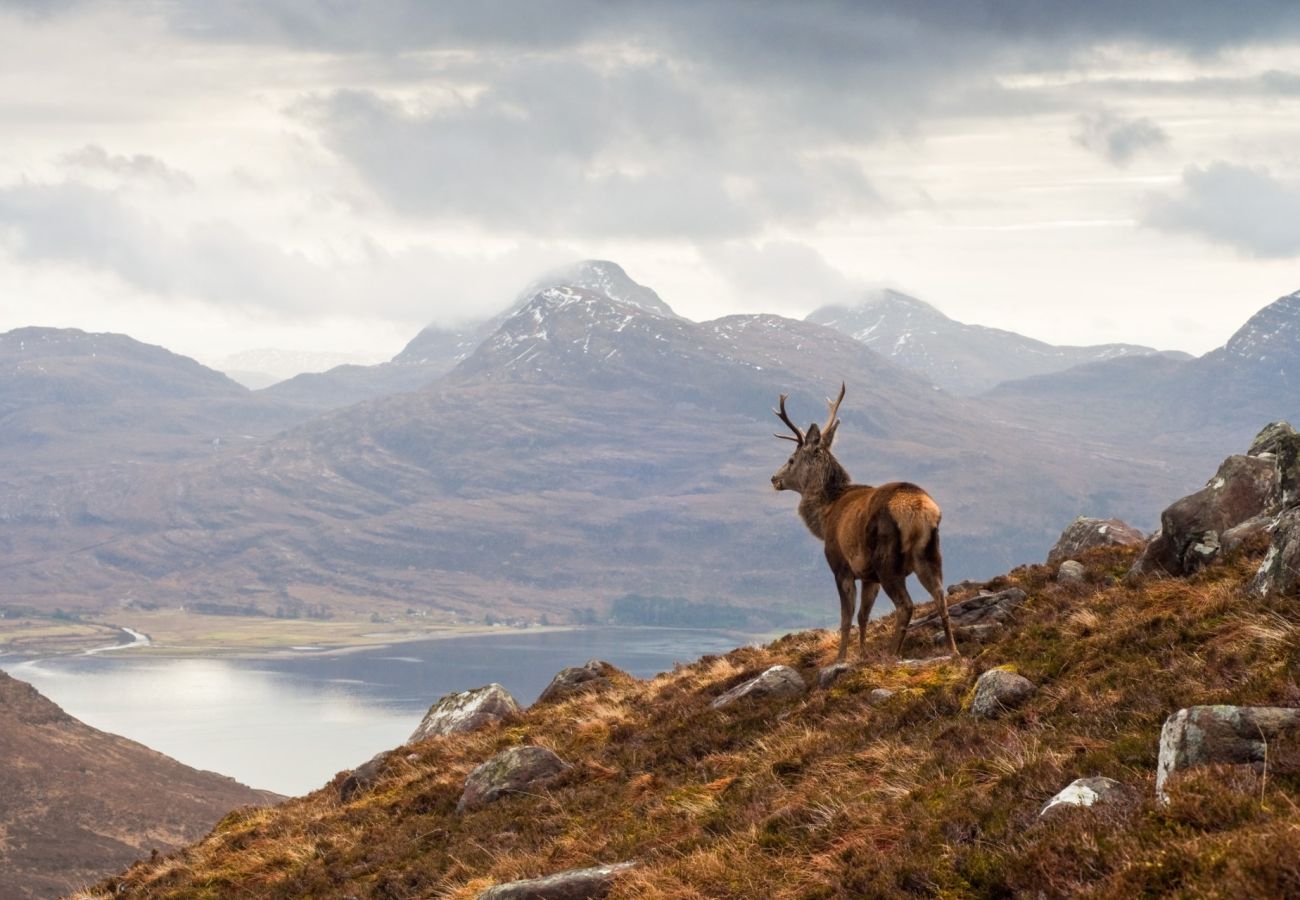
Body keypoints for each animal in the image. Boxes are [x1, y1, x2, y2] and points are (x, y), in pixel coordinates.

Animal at [770, 384, 959, 662]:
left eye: (792, 459)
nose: (774, 478)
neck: (824, 518)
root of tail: (920, 509)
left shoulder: (841, 566)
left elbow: (846, 617)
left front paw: (841, 659)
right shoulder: (870, 577)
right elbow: (863, 616)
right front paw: (861, 655)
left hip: (887, 559)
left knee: (906, 605)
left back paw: (892, 654)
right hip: (930, 553)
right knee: (940, 595)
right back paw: (953, 650)